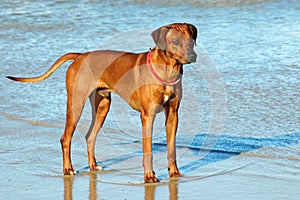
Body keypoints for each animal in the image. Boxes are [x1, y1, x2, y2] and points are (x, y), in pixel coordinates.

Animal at [7, 22, 198, 182]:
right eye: (175, 42)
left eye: (191, 41)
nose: (193, 55)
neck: (168, 70)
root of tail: (80, 56)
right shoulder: (147, 116)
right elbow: (148, 149)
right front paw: (149, 176)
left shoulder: (173, 114)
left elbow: (172, 147)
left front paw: (174, 172)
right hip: (76, 103)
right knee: (65, 138)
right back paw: (68, 169)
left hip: (102, 106)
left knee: (90, 136)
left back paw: (93, 165)